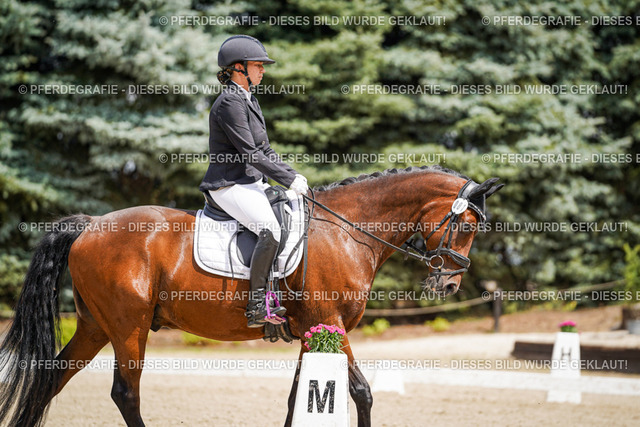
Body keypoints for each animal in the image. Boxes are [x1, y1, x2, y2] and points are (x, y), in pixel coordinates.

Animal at [0, 165, 502, 427]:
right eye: (466, 226)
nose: (449, 285)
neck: (348, 231)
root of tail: (89, 225)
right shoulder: (332, 323)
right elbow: (360, 392)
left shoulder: (312, 329)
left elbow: (300, 395)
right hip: (128, 327)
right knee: (126, 393)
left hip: (95, 326)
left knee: (50, 379)